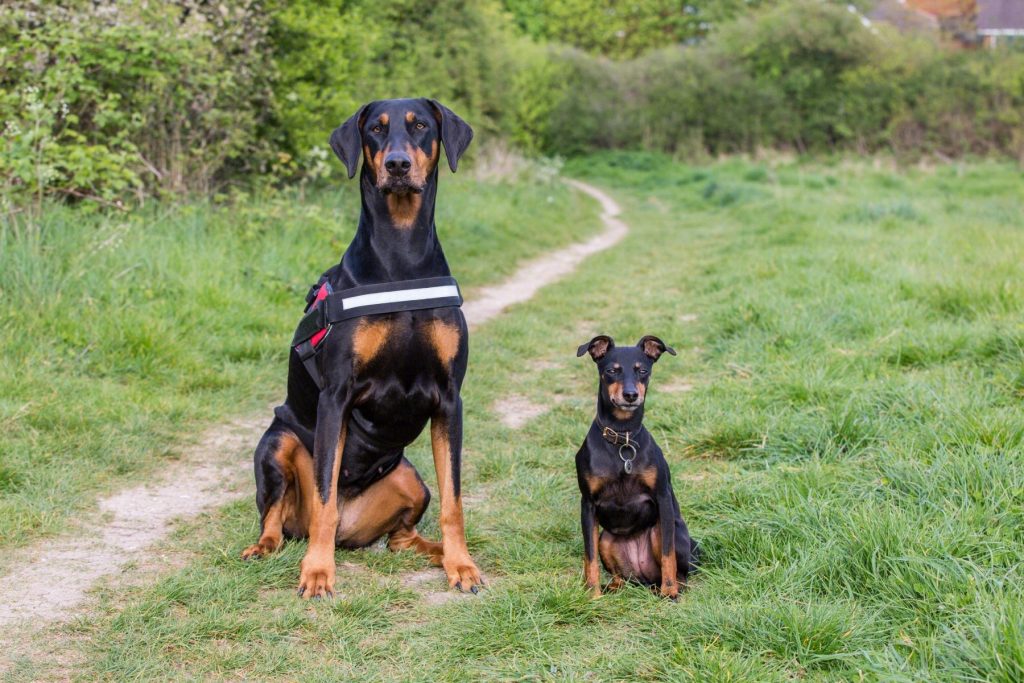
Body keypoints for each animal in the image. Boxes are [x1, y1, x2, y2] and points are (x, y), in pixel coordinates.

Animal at [239, 97, 483, 598]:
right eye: (375, 129)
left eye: (421, 125)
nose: (397, 165)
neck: (401, 258)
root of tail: (352, 531)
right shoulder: (336, 396)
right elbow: (325, 496)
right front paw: (317, 572)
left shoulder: (450, 399)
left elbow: (454, 501)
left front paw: (462, 565)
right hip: (276, 444)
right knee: (281, 517)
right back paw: (269, 546)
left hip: (411, 480)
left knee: (400, 537)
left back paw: (436, 552)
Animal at [577, 335, 696, 598]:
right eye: (612, 371)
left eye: (643, 371)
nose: (631, 395)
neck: (623, 438)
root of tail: (645, 579)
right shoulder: (587, 504)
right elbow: (589, 556)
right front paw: (592, 594)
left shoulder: (662, 498)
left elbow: (668, 555)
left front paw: (669, 593)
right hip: (606, 539)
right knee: (620, 577)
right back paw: (612, 587)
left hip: (668, 533)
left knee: (681, 570)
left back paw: (670, 587)